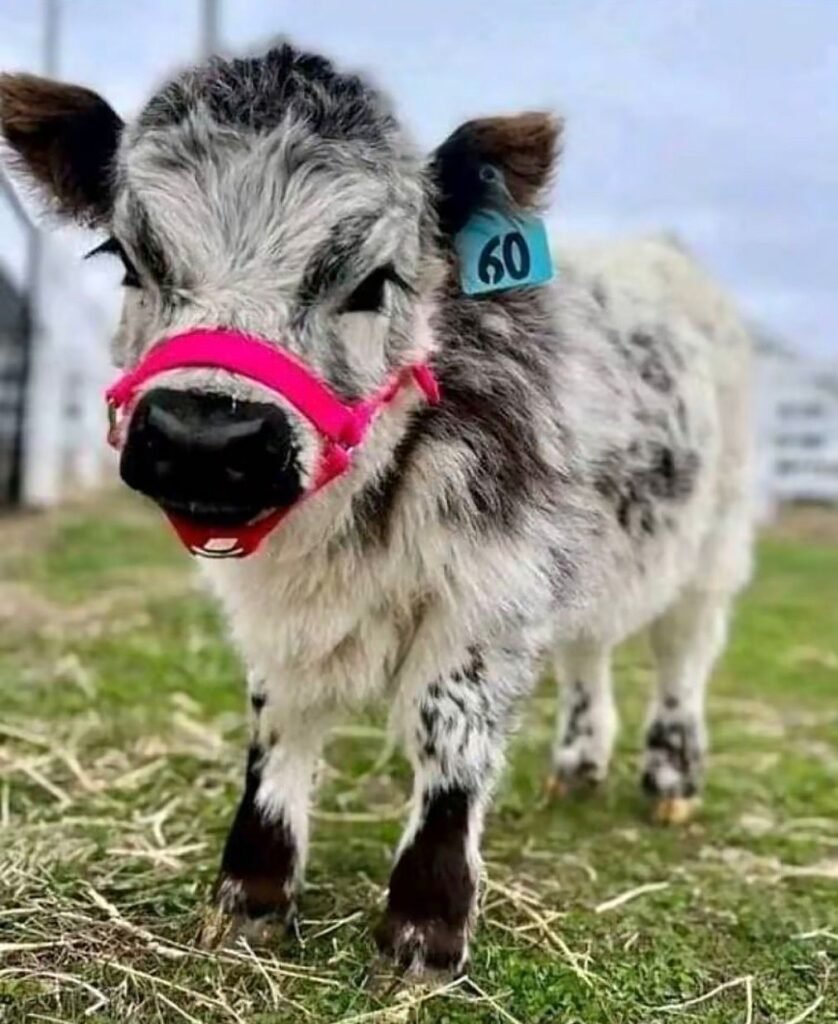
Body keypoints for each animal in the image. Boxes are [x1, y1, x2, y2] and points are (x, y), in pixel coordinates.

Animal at [0, 40, 753, 972]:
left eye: (372, 282)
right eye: (129, 260)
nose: (205, 435)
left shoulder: (493, 589)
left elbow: (449, 733)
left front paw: (425, 929)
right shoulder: (279, 612)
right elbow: (279, 720)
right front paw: (250, 897)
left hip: (712, 541)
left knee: (684, 654)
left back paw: (671, 779)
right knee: (589, 650)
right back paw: (576, 767)